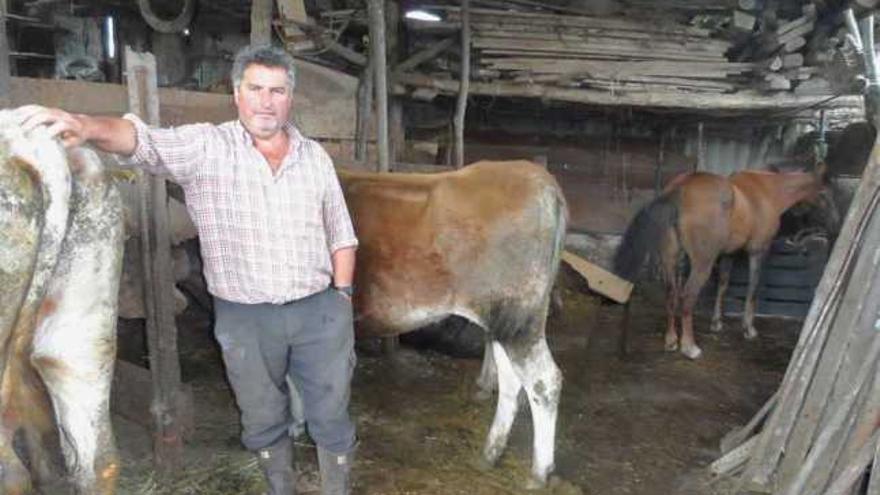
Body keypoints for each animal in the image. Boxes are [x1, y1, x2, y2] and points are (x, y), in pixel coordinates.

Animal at [338, 160, 572, 488]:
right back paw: (490, 453)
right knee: (511, 381)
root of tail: (539, 178)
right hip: (501, 321)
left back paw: (539, 472)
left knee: (544, 381)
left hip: (520, 319)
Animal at [616, 165, 828, 358]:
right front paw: (748, 328)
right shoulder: (758, 251)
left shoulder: (728, 254)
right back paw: (689, 346)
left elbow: (723, 286)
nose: (829, 227)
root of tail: (680, 188)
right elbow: (753, 288)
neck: (768, 191)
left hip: (670, 258)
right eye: (824, 193)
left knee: (671, 294)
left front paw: (716, 322)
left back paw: (671, 340)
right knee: (687, 296)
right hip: (702, 264)